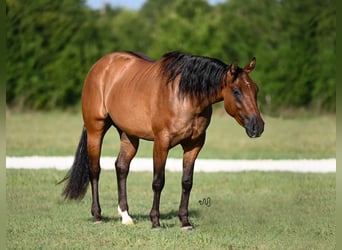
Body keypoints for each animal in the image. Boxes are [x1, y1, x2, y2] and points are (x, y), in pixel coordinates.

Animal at [60, 51, 264, 230]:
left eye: (256, 90)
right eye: (237, 91)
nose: (258, 126)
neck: (185, 96)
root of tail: (99, 66)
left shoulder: (194, 145)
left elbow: (187, 182)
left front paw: (185, 222)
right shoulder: (161, 143)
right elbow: (158, 181)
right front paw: (155, 222)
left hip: (129, 135)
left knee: (121, 167)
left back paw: (126, 216)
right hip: (95, 130)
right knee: (94, 170)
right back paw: (97, 215)